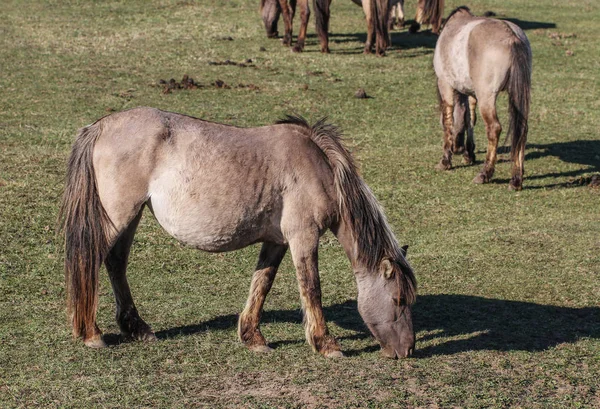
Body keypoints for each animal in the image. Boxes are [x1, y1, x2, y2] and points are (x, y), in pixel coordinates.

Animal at [61, 107, 418, 356]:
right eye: (398, 300)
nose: (408, 350)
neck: (318, 166)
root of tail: (101, 126)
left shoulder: (276, 241)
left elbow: (262, 284)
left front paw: (252, 337)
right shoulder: (303, 237)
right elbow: (311, 288)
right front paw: (325, 344)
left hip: (130, 217)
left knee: (116, 264)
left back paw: (137, 328)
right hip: (117, 216)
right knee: (90, 262)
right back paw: (92, 334)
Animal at [434, 6, 532, 190]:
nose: (458, 149)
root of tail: (511, 36)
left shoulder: (445, 85)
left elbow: (448, 120)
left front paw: (446, 161)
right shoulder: (471, 92)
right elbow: (469, 118)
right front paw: (469, 153)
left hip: (487, 97)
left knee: (494, 128)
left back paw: (485, 173)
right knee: (521, 128)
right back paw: (516, 179)